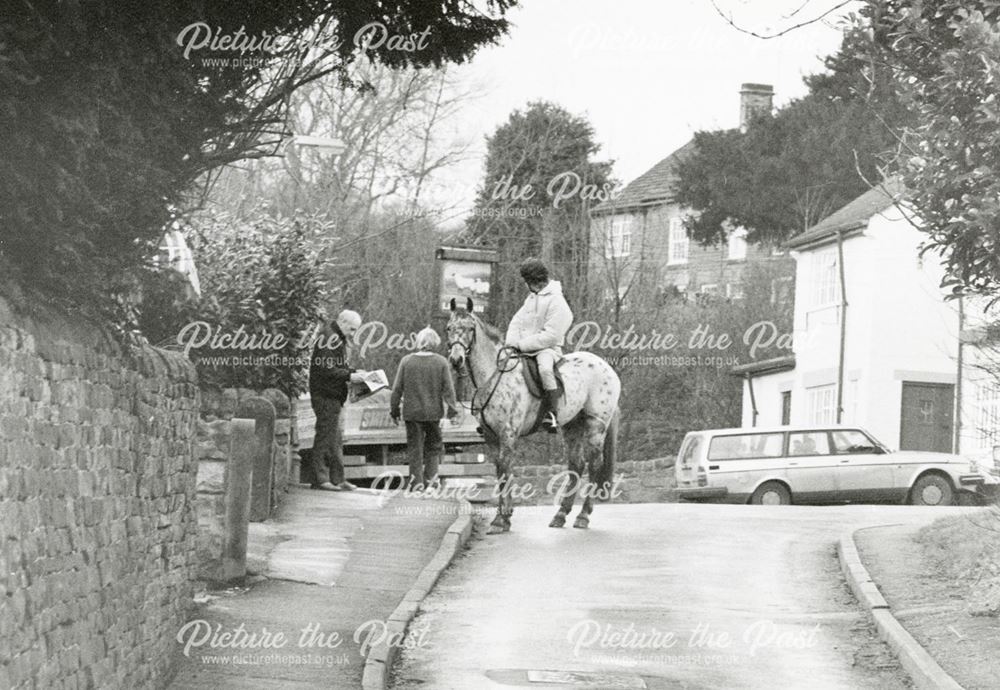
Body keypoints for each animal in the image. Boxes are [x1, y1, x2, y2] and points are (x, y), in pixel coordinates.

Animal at [444, 296, 616, 532]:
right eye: (449, 328)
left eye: (470, 328)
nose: (456, 360)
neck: (493, 375)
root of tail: (605, 366)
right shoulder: (491, 436)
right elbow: (500, 471)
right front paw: (503, 516)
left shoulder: (508, 434)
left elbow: (505, 469)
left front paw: (501, 519)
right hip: (572, 426)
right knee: (577, 464)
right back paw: (561, 515)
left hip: (596, 426)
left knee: (594, 463)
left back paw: (583, 516)